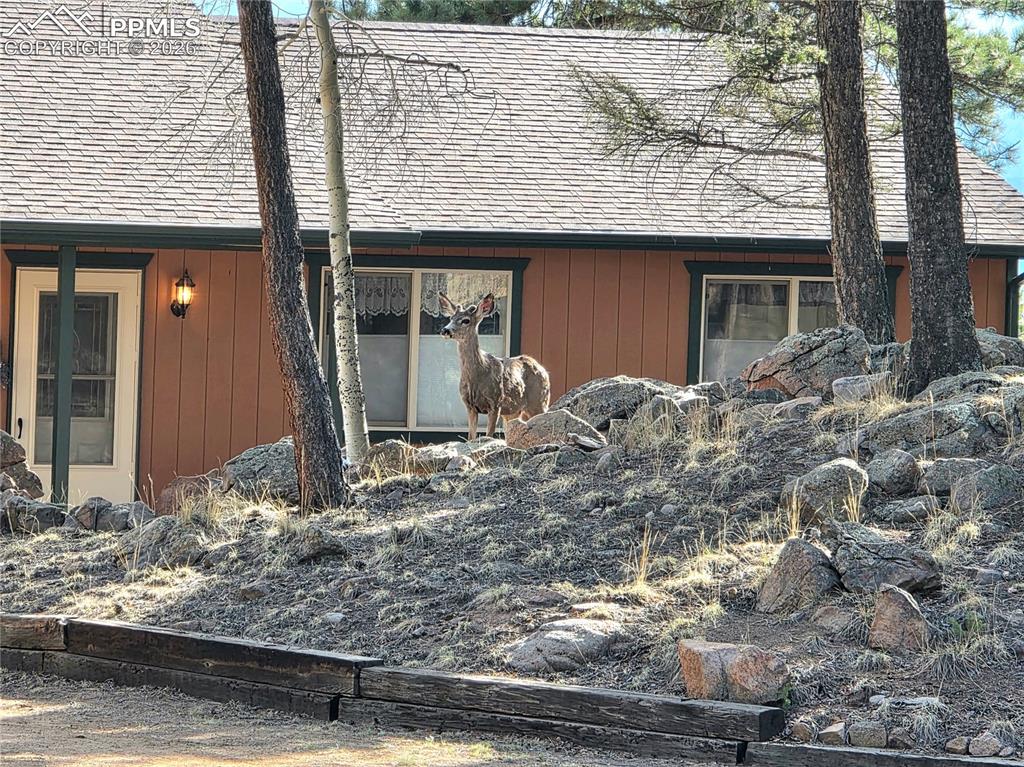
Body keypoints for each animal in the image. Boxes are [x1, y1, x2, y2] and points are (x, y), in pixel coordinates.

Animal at [438, 292, 550, 440]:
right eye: (451, 318)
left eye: (466, 320)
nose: (445, 330)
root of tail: (543, 369)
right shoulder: (470, 406)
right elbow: (471, 437)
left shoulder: (496, 402)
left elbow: (489, 435)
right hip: (513, 411)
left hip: (539, 401)